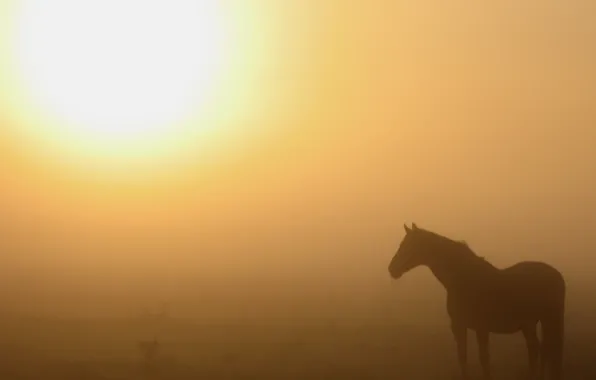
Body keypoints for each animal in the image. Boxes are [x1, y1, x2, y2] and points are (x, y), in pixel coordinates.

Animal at [388, 223, 564, 380]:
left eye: (409, 245)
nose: (392, 269)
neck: (464, 279)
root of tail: (557, 275)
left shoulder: (480, 328)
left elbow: (483, 359)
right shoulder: (459, 326)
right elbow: (463, 357)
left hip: (547, 320)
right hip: (530, 324)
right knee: (538, 350)